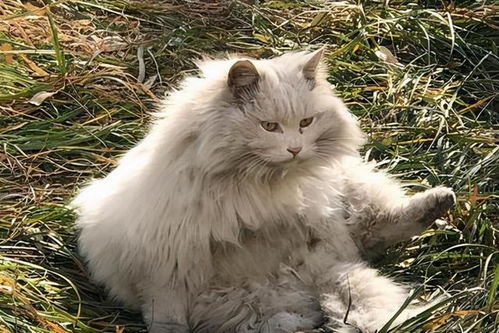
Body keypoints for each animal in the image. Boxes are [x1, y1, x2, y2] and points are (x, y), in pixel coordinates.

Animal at [73, 49, 458, 332]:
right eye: (269, 126)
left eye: (305, 123)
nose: (295, 149)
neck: (256, 186)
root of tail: (310, 276)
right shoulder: (166, 264)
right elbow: (167, 319)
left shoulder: (319, 219)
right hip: (261, 299)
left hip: (349, 192)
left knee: (373, 232)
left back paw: (441, 200)